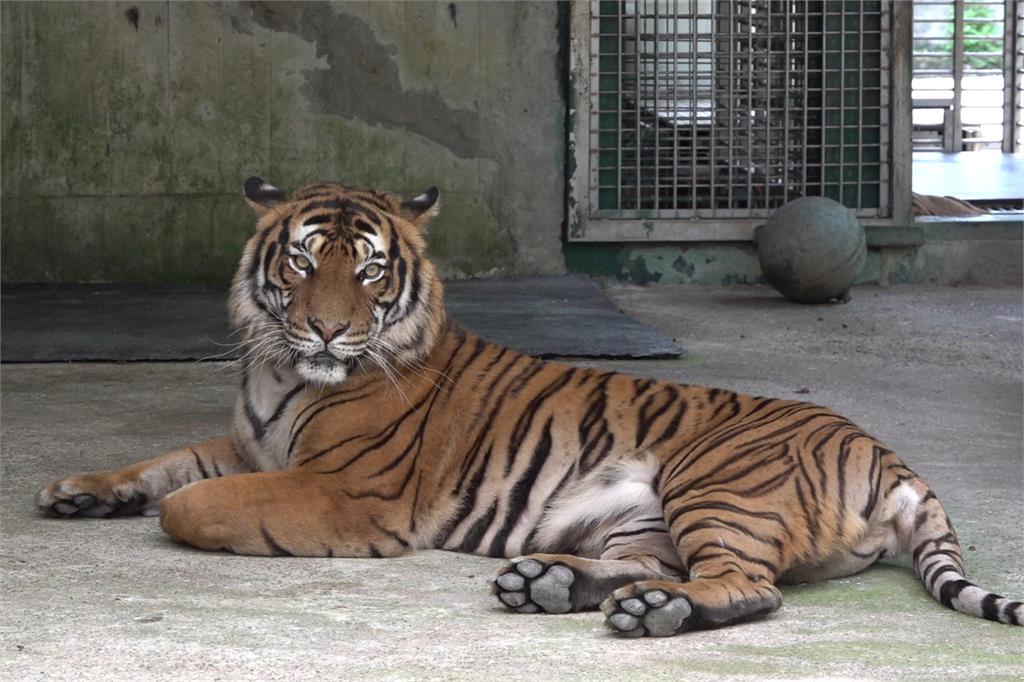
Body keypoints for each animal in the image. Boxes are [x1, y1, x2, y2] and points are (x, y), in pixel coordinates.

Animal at [36, 175, 1019, 630]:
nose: (324, 330)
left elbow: (193, 503)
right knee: (660, 568)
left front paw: (158, 508)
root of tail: (891, 455)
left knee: (753, 588)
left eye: (370, 270)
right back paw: (548, 583)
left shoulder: (349, 493)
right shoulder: (250, 444)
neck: (283, 372)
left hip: (715, 481)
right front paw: (76, 489)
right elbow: (165, 460)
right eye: (304, 261)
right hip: (640, 522)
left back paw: (641, 615)